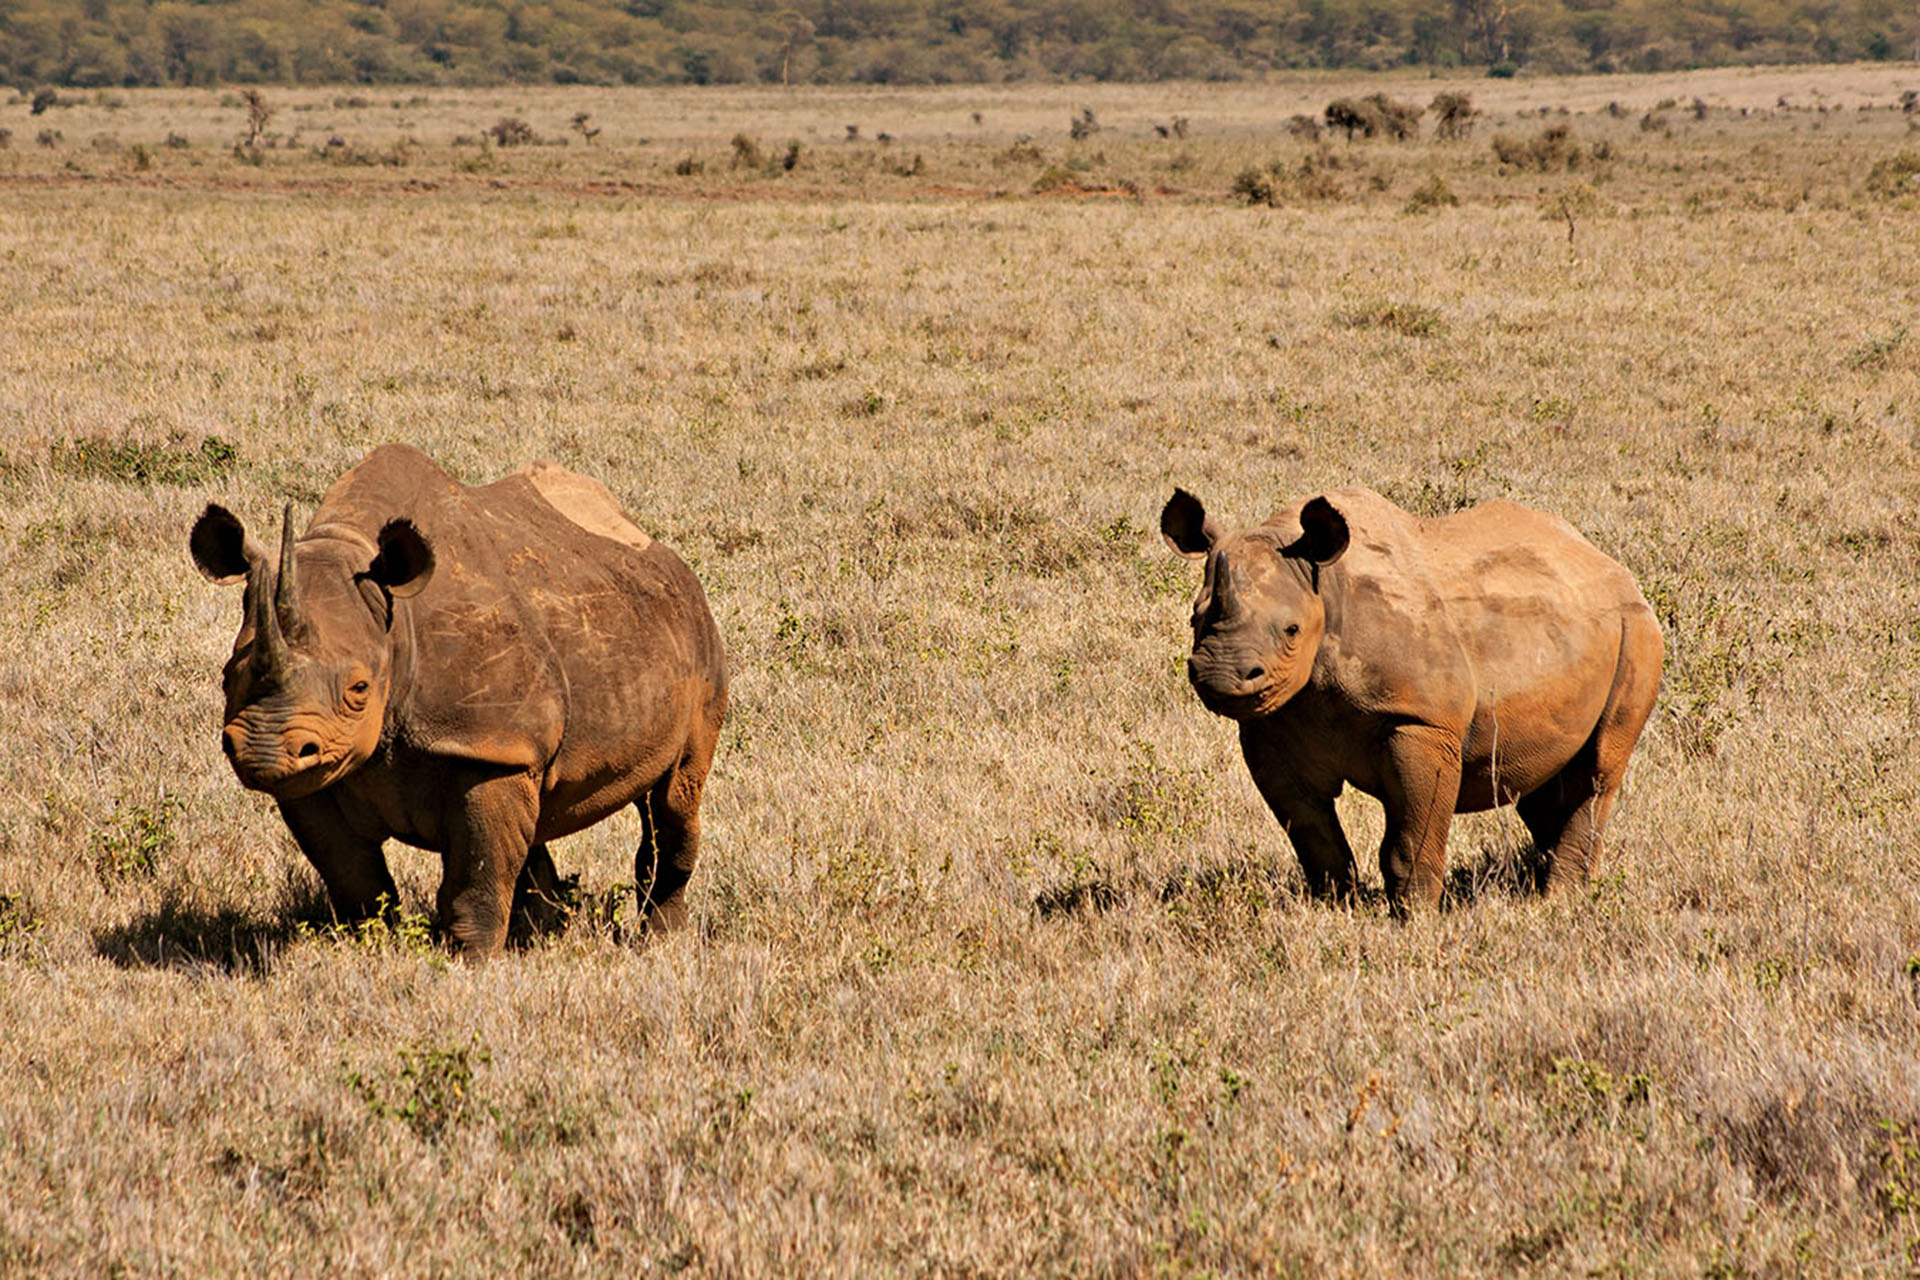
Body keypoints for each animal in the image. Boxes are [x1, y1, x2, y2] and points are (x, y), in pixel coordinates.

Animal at [190, 444, 728, 956]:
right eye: (226, 678)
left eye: (359, 690)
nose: (262, 753)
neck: (394, 628)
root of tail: (657, 547)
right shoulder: (317, 772)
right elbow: (354, 878)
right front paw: (372, 948)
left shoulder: (485, 745)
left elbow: (478, 876)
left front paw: (472, 962)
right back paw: (539, 936)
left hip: (698, 642)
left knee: (674, 797)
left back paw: (659, 940)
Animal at [1161, 486, 1661, 909]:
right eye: (1194, 619)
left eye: (1291, 630)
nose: (1219, 675)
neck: (1327, 590)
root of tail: (1608, 563)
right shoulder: (1269, 730)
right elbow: (1313, 836)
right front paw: (1336, 907)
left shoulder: (1420, 722)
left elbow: (1409, 838)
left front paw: (1415, 918)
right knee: (1540, 783)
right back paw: (1540, 889)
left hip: (1635, 628)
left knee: (1595, 772)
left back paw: (1559, 901)